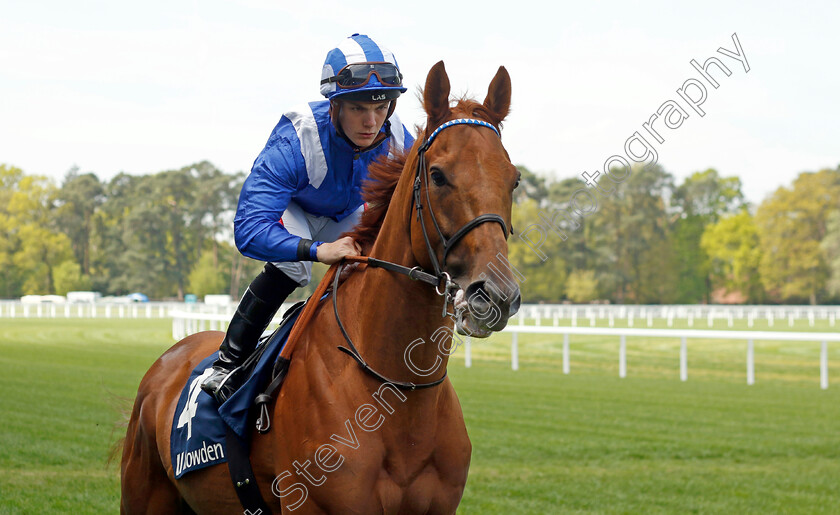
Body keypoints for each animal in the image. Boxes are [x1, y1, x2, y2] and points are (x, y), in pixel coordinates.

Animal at [120, 61, 520, 515]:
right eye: (438, 175)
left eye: (514, 180)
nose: (495, 295)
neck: (398, 392)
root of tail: (169, 358)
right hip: (143, 493)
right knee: (285, 267)